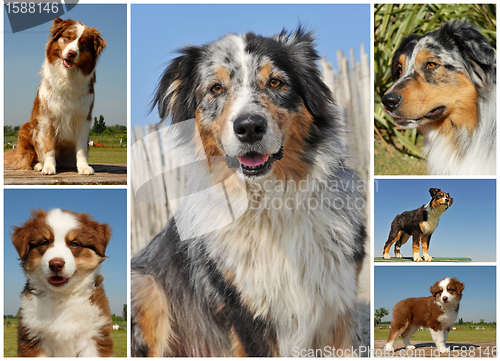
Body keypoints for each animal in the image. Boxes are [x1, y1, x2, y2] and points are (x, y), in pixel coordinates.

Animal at [6, 17, 106, 174]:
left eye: (83, 44)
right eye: (68, 38)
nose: (71, 53)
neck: (67, 76)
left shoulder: (84, 117)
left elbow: (82, 148)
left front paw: (84, 167)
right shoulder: (47, 117)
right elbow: (49, 146)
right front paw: (48, 167)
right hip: (26, 129)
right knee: (28, 157)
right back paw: (39, 165)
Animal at [11, 207, 113, 356]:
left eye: (74, 243)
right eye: (44, 242)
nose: (56, 264)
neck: (61, 297)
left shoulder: (94, 334)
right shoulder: (32, 336)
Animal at [132, 27, 368, 354]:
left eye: (276, 82)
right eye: (216, 89)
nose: (249, 127)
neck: (269, 201)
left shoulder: (339, 307)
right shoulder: (244, 312)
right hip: (147, 291)